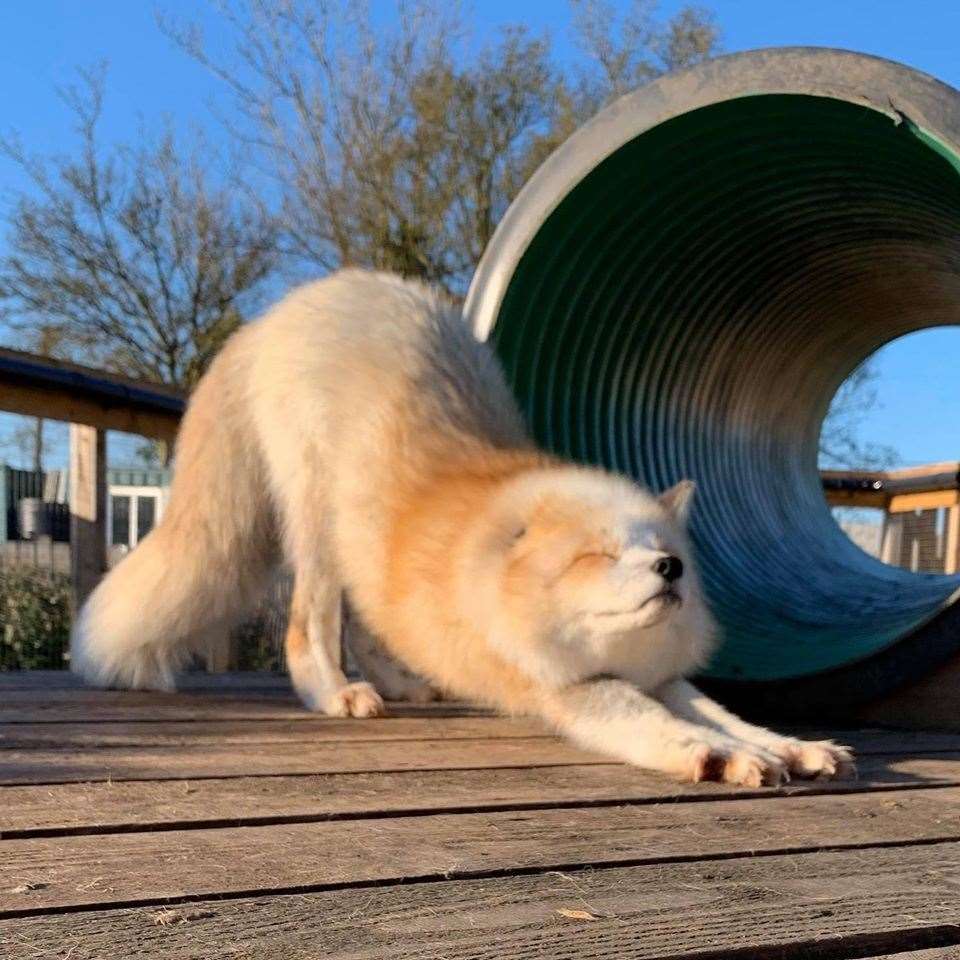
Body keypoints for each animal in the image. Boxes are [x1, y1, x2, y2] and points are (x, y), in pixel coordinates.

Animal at [75, 270, 856, 788]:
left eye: (667, 555)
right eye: (599, 555)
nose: (670, 573)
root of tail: (286, 307)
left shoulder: (658, 675)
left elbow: (726, 714)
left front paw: (788, 746)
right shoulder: (566, 690)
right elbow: (662, 724)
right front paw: (725, 756)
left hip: (357, 546)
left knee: (368, 618)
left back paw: (401, 684)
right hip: (320, 529)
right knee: (309, 628)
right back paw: (336, 694)